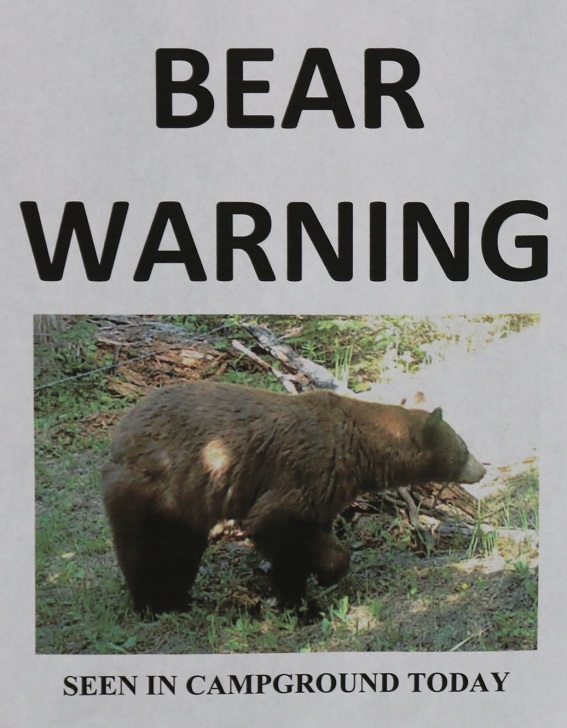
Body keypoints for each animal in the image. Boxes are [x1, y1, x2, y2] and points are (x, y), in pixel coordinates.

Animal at [101, 381, 486, 614]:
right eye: (465, 448)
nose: (481, 470)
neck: (359, 447)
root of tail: (120, 433)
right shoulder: (305, 470)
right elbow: (278, 527)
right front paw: (309, 595)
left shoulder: (328, 489)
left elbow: (310, 532)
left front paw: (309, 587)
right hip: (156, 488)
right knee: (144, 548)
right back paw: (152, 604)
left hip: (185, 504)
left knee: (181, 550)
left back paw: (180, 597)